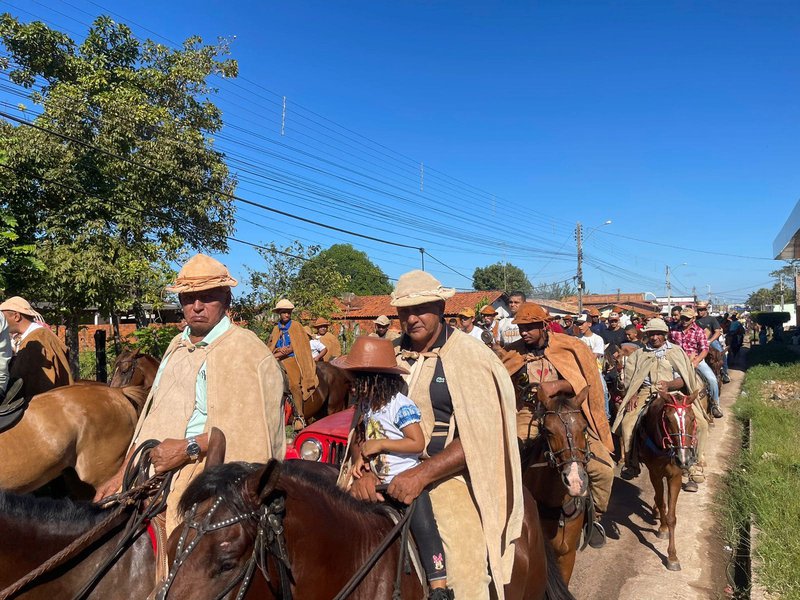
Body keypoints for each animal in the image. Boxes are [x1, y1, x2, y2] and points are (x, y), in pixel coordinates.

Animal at [640, 390, 696, 572]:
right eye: (668, 420)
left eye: (692, 418)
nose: (683, 459)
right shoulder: (655, 474)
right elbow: (661, 501)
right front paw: (663, 528)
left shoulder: (675, 477)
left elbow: (672, 516)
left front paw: (672, 557)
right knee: (659, 498)